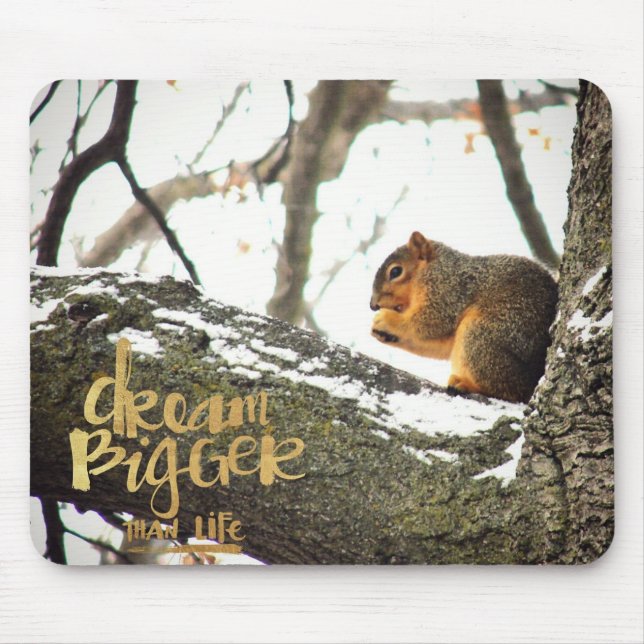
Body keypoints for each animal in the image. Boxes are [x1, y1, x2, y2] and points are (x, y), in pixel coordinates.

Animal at [370, 231, 558, 403]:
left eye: (395, 271)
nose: (373, 305)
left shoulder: (447, 291)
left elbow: (429, 323)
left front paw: (386, 320)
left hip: (482, 336)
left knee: (511, 390)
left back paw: (465, 384)